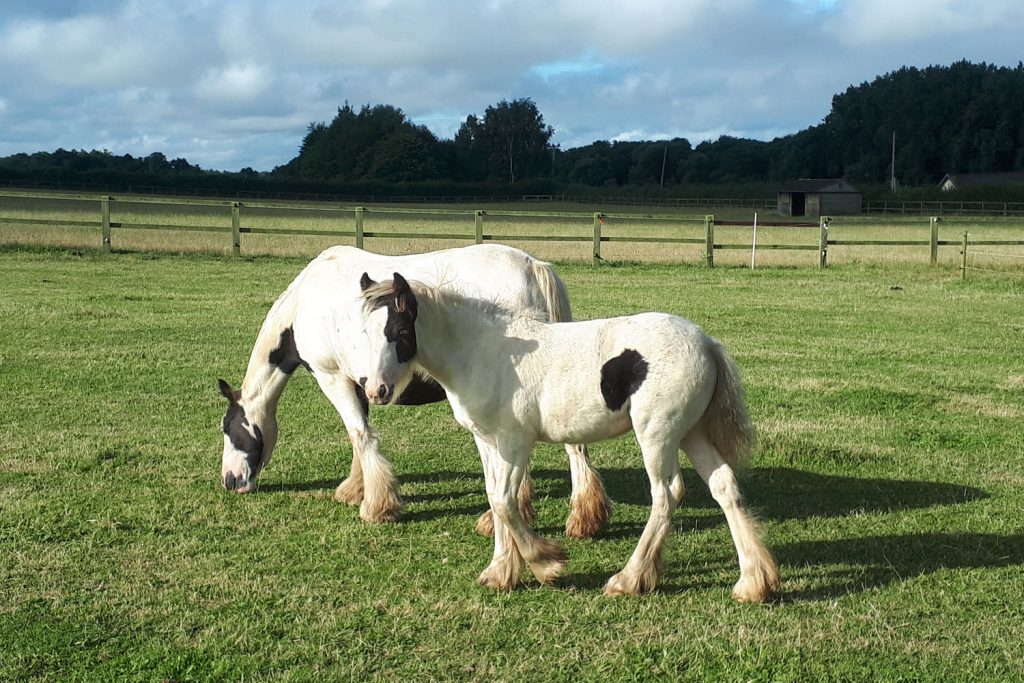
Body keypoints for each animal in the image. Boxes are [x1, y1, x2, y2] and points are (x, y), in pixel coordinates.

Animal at [217, 242, 610, 536]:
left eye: (228, 428)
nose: (230, 481)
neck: (306, 301)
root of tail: (534, 267)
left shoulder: (333, 378)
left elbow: (358, 433)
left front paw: (377, 505)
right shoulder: (362, 383)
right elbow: (361, 434)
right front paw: (356, 488)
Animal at [356, 274, 778, 602]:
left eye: (398, 331)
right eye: (363, 333)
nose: (375, 390)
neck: (483, 351)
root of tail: (706, 343)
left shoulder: (514, 441)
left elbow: (505, 502)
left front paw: (548, 564)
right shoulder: (488, 442)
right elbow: (494, 499)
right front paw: (501, 572)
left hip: (657, 435)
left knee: (667, 493)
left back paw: (629, 579)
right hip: (691, 433)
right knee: (724, 486)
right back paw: (753, 583)